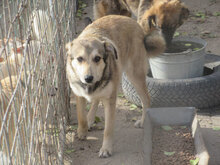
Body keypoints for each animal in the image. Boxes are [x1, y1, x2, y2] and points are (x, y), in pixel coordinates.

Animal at [65, 15, 165, 157]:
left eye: (97, 58)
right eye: (79, 59)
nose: (88, 78)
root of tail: (132, 21)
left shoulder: (110, 100)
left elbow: (108, 128)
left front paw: (106, 149)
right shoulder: (79, 94)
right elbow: (81, 116)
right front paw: (82, 131)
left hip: (134, 75)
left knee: (146, 99)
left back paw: (143, 121)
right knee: (95, 100)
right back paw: (90, 119)